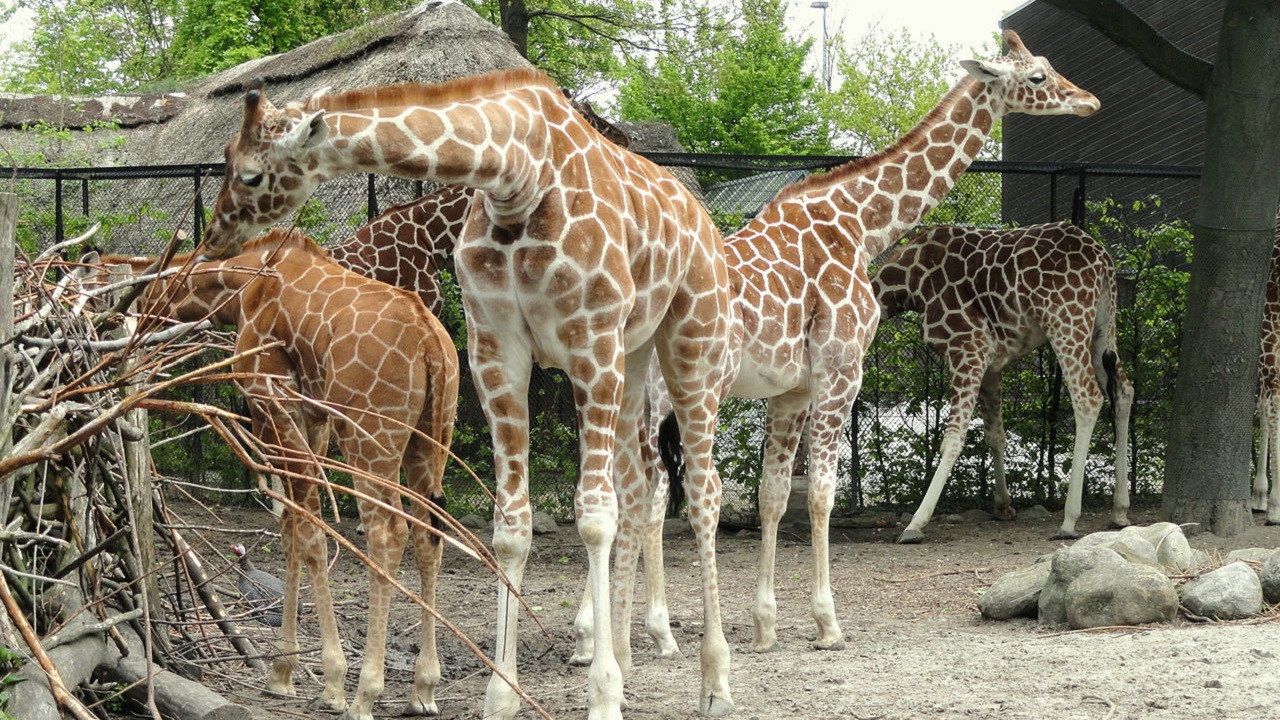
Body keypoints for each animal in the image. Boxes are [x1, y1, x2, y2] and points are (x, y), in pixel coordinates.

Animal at [97, 230, 459, 720]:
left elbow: (306, 531)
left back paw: (366, 693)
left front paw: (328, 681)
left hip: (371, 437)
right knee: (429, 536)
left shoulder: (270, 401)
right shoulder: (314, 419)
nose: (111, 334)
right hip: (433, 437)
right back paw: (424, 689)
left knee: (387, 534)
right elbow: (291, 527)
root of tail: (430, 344)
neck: (239, 288)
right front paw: (282, 672)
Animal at [198, 69, 735, 720]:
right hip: (633, 358)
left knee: (702, 492)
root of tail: (699, 211)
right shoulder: (495, 349)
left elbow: (592, 519)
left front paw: (603, 694)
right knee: (640, 488)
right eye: (225, 159)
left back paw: (713, 680)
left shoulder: (590, 340)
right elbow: (511, 526)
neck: (518, 176)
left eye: (251, 173)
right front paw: (502, 693)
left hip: (689, 341)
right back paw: (632, 658)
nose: (216, 233)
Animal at [645, 29, 1099, 653]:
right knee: (685, 492)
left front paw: (765, 626)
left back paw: (637, 637)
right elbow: (820, 492)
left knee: (635, 494)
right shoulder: (840, 370)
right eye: (1036, 77)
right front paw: (827, 623)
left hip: (641, 394)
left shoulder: (792, 389)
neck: (861, 227)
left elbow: (773, 496)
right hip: (697, 391)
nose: (1088, 101)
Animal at [873, 221, 1133, 541]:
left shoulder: (968, 349)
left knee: (1088, 397)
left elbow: (953, 438)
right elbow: (995, 435)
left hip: (1066, 322)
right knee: (1123, 391)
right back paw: (1119, 510)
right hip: (1102, 327)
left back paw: (1069, 520)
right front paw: (1003, 506)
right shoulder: (991, 367)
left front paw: (916, 523)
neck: (908, 283)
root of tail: (1103, 259)